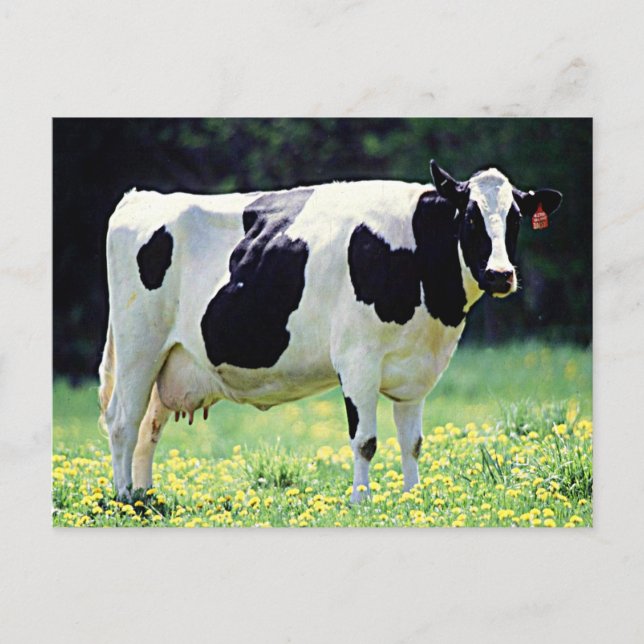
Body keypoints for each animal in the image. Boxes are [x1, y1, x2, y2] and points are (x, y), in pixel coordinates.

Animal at [98, 160, 562, 502]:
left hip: (169, 361)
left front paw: (414, 497)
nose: (500, 274)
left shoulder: (416, 370)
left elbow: (412, 442)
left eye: (516, 218)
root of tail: (140, 198)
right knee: (123, 421)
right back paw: (124, 499)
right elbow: (366, 440)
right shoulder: (357, 360)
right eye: (470, 217)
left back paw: (146, 497)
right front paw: (361, 501)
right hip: (139, 347)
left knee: (148, 428)